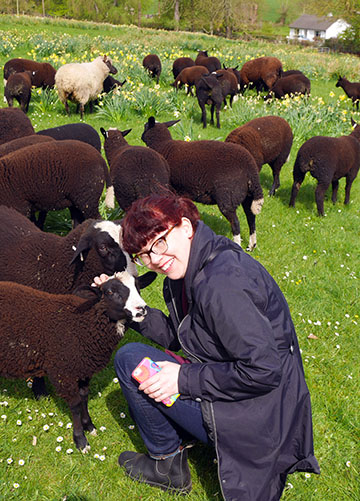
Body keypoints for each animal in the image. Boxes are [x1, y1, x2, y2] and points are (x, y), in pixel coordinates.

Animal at [0, 272, 158, 452]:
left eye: (137, 287)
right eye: (110, 292)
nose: (142, 309)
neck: (83, 324)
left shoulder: (83, 369)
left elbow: (84, 397)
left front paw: (89, 426)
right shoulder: (63, 372)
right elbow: (75, 404)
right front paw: (81, 440)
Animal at [141, 116, 264, 250]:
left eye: (145, 126)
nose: (141, 136)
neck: (162, 145)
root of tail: (250, 168)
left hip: (227, 197)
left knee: (235, 223)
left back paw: (237, 245)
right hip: (248, 196)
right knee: (251, 217)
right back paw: (252, 245)